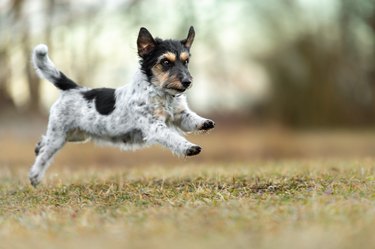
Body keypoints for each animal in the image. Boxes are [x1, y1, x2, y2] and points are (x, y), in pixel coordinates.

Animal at [29, 27, 216, 187]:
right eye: (165, 62)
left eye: (186, 61)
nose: (187, 81)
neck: (162, 94)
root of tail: (73, 88)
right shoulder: (154, 126)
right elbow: (173, 138)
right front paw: (189, 148)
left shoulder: (179, 115)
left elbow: (191, 118)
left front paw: (204, 122)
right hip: (59, 135)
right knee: (44, 155)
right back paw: (34, 176)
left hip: (75, 135)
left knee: (43, 142)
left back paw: (37, 147)